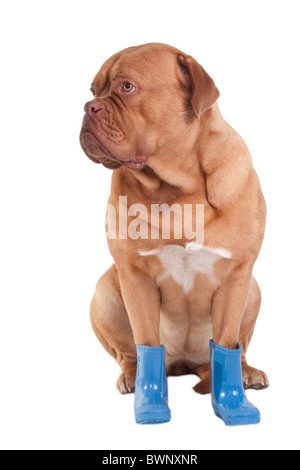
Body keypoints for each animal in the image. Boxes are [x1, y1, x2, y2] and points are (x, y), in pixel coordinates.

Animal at [78, 42, 268, 420]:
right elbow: (146, 341)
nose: (88, 107)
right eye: (93, 91)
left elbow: (227, 340)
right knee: (130, 353)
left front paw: (231, 403)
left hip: (252, 291)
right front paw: (150, 402)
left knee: (235, 350)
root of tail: (184, 363)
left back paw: (246, 373)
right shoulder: (133, 275)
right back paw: (131, 377)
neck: (178, 189)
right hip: (105, 292)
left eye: (126, 87)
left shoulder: (237, 275)